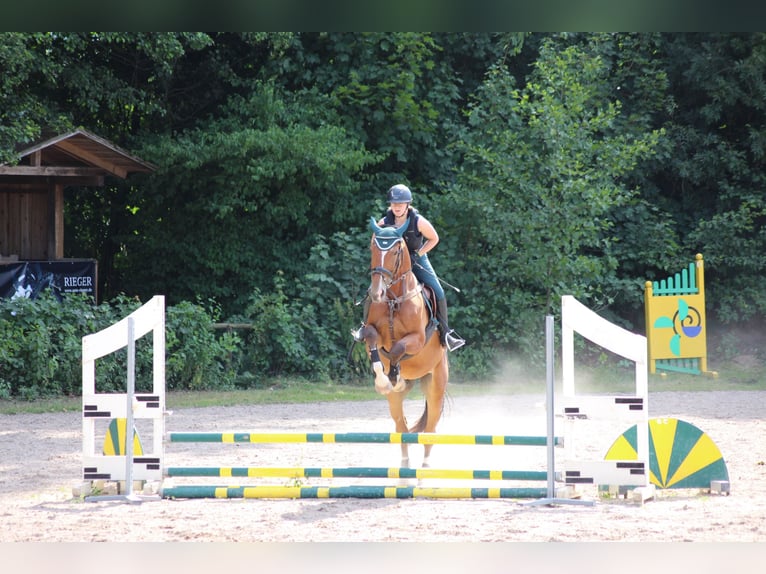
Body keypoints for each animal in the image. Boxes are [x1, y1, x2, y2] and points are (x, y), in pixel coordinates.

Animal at [358, 216, 450, 468]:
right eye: (372, 247)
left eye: (396, 250)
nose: (376, 293)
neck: (393, 299)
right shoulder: (372, 332)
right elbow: (373, 341)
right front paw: (384, 379)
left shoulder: (417, 339)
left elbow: (398, 347)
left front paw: (393, 375)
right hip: (396, 402)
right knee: (402, 426)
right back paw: (405, 463)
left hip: (436, 384)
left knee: (430, 429)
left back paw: (425, 466)